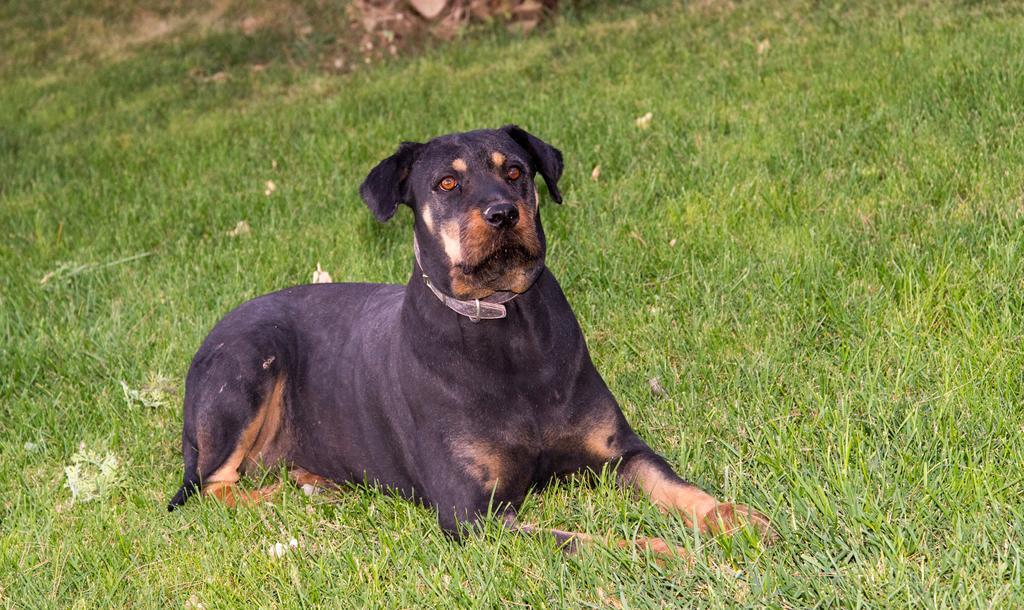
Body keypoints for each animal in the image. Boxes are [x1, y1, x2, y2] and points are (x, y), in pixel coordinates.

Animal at [167, 126, 770, 556]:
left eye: (516, 171)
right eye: (447, 184)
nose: (504, 213)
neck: (505, 326)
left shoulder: (618, 452)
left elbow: (675, 485)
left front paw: (736, 519)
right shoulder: (472, 514)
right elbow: (594, 543)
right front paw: (676, 554)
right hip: (245, 367)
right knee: (212, 484)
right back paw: (277, 497)